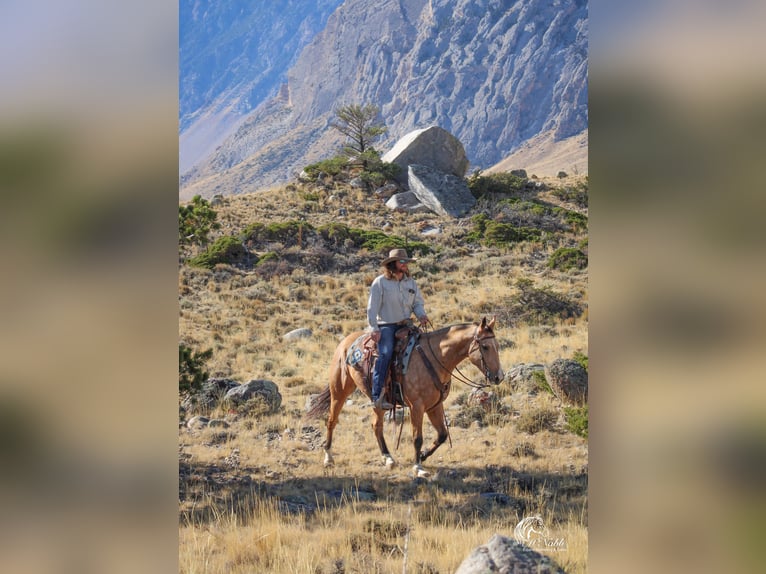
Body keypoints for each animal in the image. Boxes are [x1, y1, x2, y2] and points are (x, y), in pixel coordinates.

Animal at [306, 318, 504, 480]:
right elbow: (417, 438)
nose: (499, 377)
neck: (436, 357)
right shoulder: (417, 406)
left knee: (376, 426)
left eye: (497, 345)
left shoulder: (435, 405)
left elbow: (442, 435)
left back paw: (388, 458)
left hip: (378, 400)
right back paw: (328, 457)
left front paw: (423, 456)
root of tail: (346, 342)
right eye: (485, 347)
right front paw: (418, 467)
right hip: (339, 391)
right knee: (331, 421)